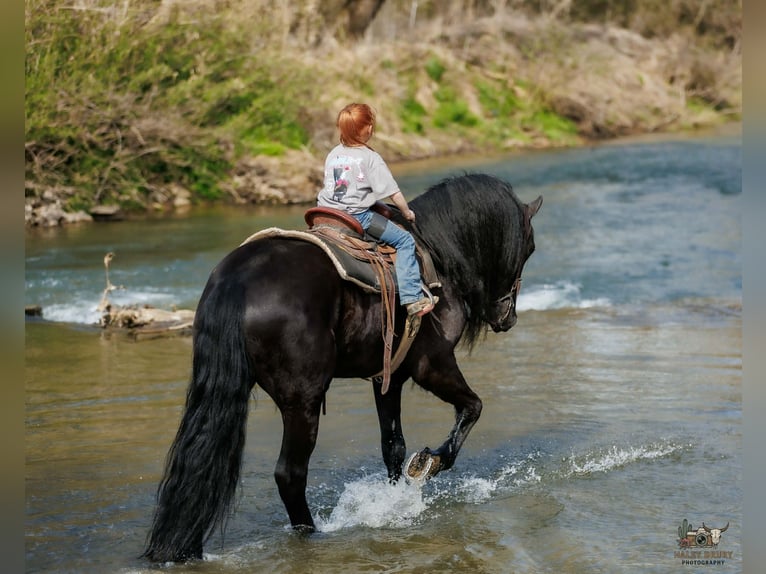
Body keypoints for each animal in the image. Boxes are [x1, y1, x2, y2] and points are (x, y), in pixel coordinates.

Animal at [143, 173, 542, 562]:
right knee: (290, 473)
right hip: (303, 400)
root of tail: (237, 281)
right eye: (530, 247)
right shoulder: (433, 364)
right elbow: (472, 408)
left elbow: (393, 446)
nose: (507, 317)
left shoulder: (389, 377)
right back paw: (311, 533)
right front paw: (429, 463)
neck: (438, 258)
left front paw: (395, 500)